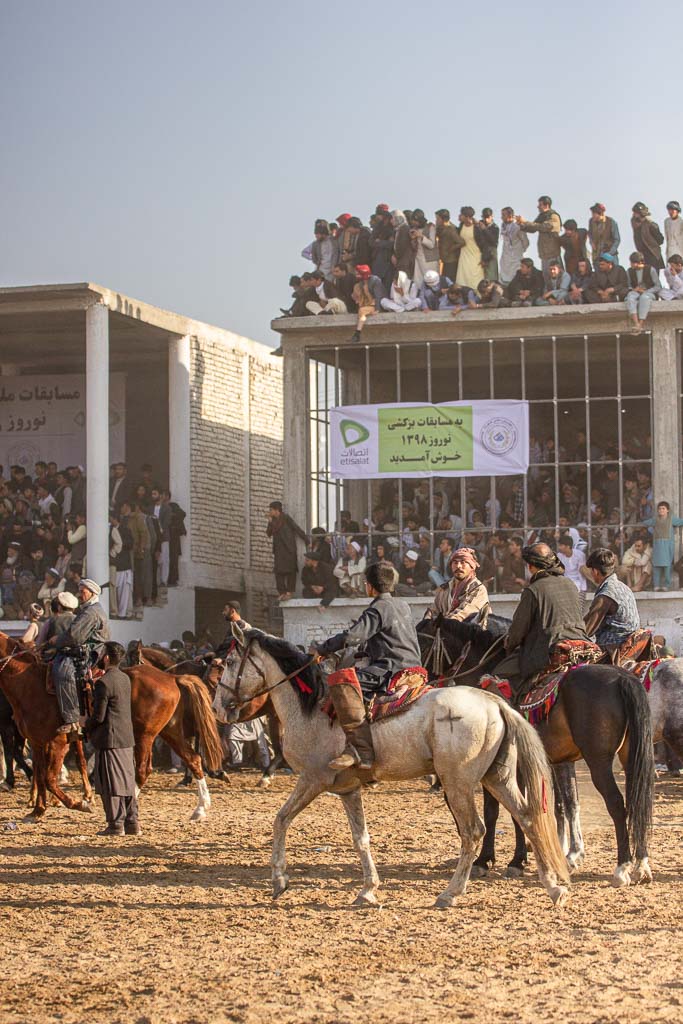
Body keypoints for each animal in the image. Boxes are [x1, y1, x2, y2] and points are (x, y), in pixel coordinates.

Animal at [0, 626, 222, 819]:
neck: (29, 682)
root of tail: (171, 677)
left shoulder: (58, 742)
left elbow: (49, 778)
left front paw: (80, 803)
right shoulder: (37, 742)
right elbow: (39, 775)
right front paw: (37, 811)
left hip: (145, 735)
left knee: (143, 771)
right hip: (170, 731)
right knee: (193, 759)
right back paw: (200, 809)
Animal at [417, 614, 655, 888]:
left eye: (422, 641)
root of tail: (622, 678)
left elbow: (497, 810)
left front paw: (493, 860)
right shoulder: (553, 761)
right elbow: (558, 805)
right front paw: (548, 854)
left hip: (599, 761)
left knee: (617, 804)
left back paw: (622, 867)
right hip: (630, 757)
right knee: (638, 801)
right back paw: (641, 865)